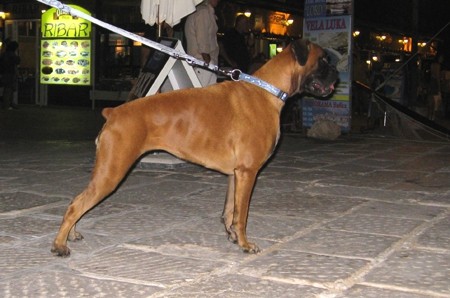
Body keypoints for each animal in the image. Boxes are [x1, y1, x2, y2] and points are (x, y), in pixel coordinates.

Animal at [51, 39, 338, 258]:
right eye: (324, 61)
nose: (337, 76)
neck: (267, 91)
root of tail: (113, 111)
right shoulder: (248, 173)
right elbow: (242, 215)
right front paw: (245, 244)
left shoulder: (236, 175)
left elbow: (230, 211)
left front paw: (232, 236)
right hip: (112, 173)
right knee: (77, 205)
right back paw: (59, 245)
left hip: (105, 172)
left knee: (77, 200)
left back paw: (71, 234)